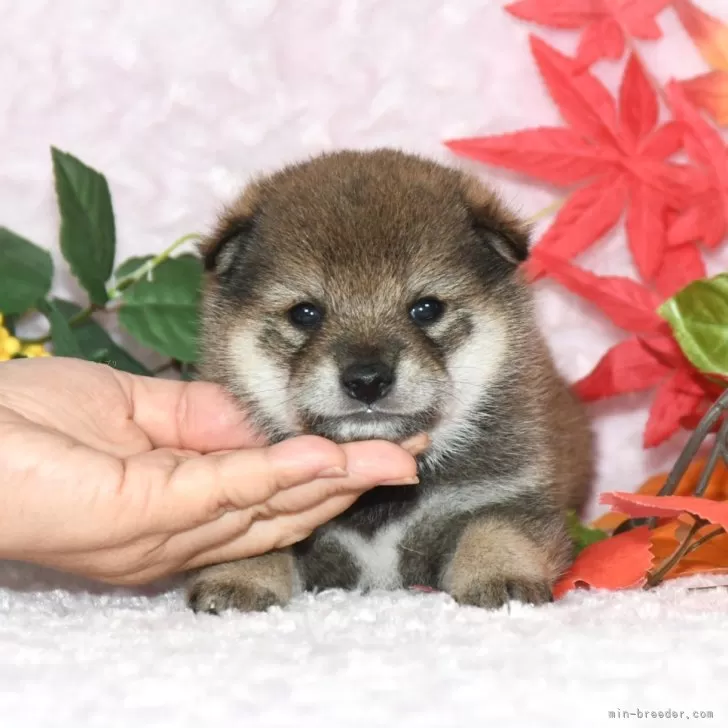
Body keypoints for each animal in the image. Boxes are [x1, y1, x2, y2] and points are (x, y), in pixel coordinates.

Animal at [188, 149, 592, 616]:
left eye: (427, 308)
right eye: (304, 313)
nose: (367, 380)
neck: (378, 500)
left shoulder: (503, 495)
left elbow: (495, 531)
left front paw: (502, 576)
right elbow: (253, 543)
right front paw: (238, 580)